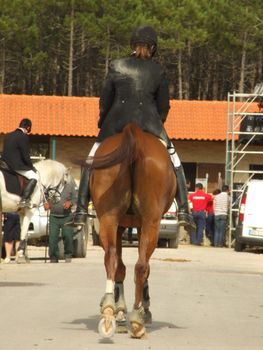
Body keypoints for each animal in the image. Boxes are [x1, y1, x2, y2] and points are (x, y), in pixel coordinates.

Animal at [89, 123, 177, 340]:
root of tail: (134, 134)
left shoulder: (121, 225)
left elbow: (120, 267)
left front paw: (120, 313)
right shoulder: (141, 224)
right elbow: (143, 267)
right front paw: (141, 309)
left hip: (109, 218)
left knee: (112, 257)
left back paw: (110, 309)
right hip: (151, 222)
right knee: (141, 266)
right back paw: (137, 318)